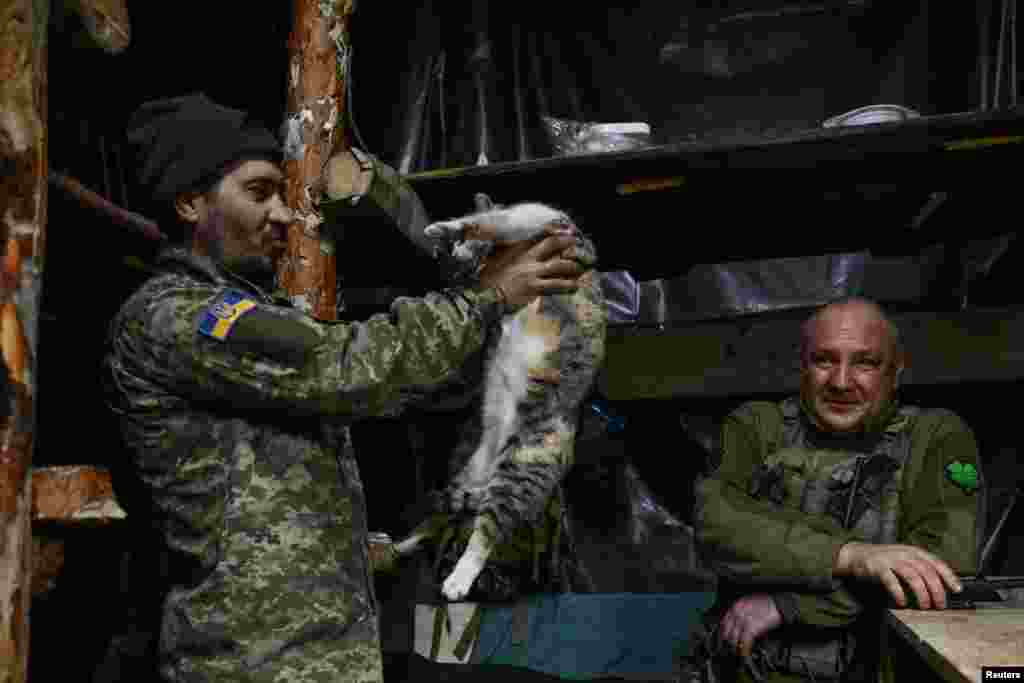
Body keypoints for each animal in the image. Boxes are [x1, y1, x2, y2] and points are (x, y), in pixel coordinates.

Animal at [389, 191, 598, 598]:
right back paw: (399, 546)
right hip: (461, 475)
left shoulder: (543, 221)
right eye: (451, 268)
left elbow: (492, 220)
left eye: (458, 256)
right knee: (441, 520)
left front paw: (449, 227)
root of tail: (484, 477)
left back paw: (457, 580)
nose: (456, 262)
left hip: (521, 471)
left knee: (486, 533)